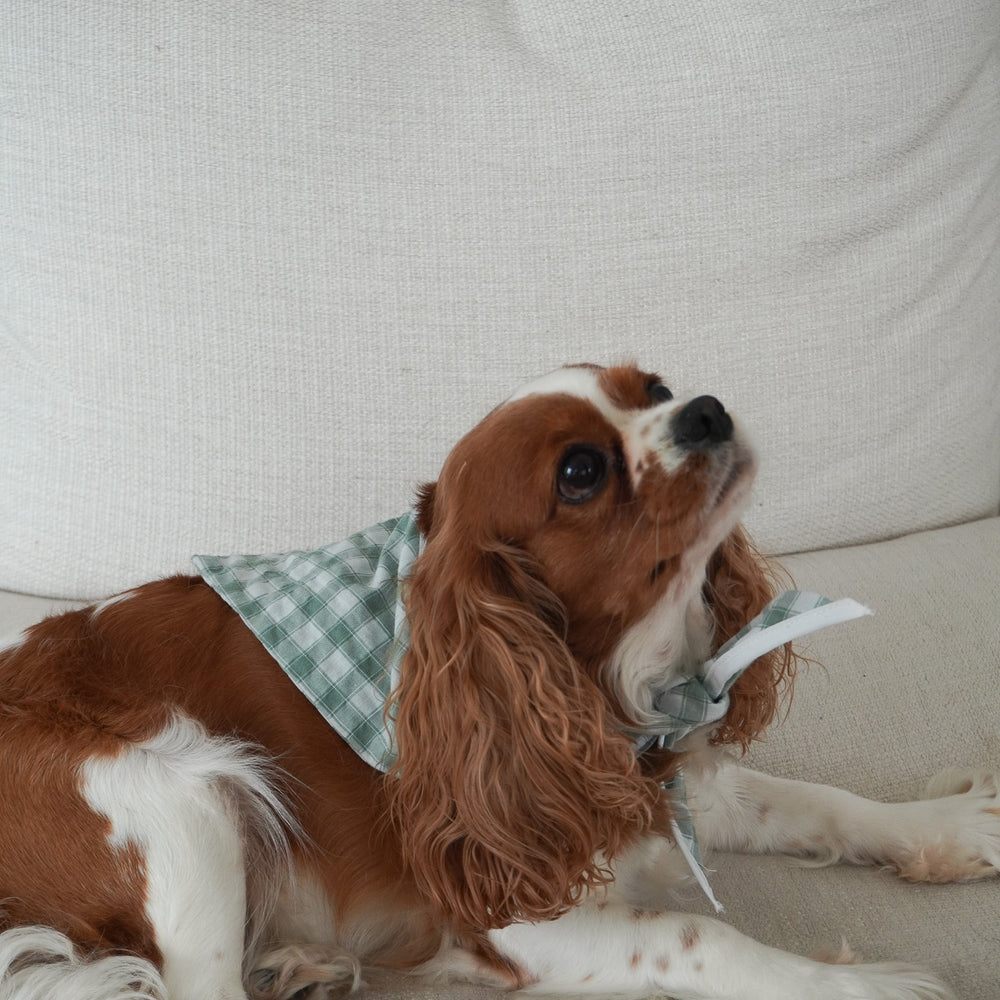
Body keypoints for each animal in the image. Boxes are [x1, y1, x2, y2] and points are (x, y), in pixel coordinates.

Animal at [1, 362, 1000, 1000]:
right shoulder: (523, 919)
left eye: (655, 389)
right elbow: (702, 935)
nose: (706, 409)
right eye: (581, 471)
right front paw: (865, 984)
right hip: (184, 800)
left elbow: (814, 802)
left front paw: (951, 826)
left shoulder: (652, 785)